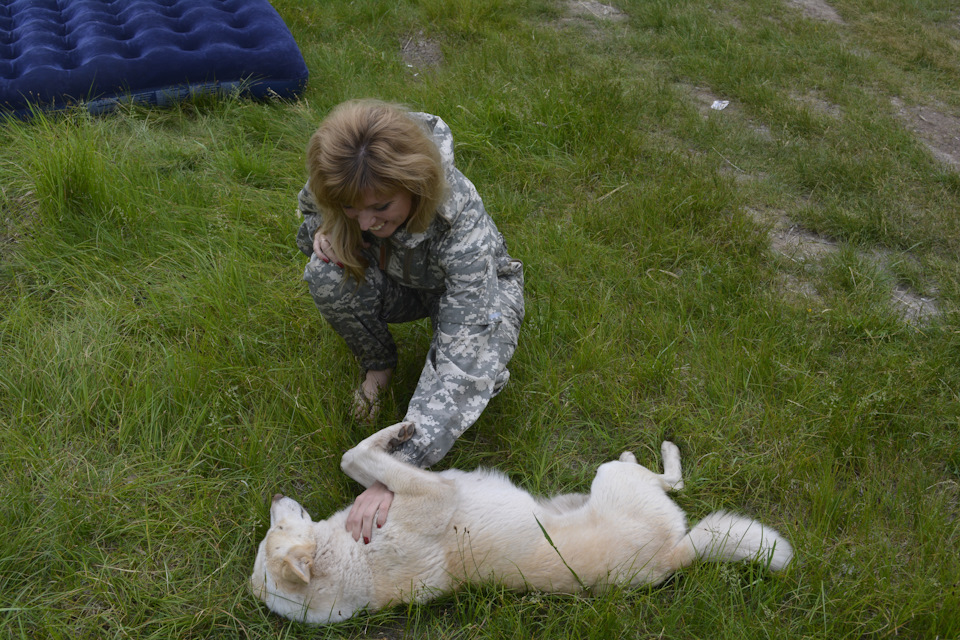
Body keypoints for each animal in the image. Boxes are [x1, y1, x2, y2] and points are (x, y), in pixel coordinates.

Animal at [249, 422, 796, 624]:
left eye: (271, 530)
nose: (274, 494)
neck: (355, 562)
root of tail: (675, 556)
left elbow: (355, 459)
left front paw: (397, 433)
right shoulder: (435, 491)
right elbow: (359, 453)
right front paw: (397, 432)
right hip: (614, 478)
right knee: (673, 481)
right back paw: (656, 453)